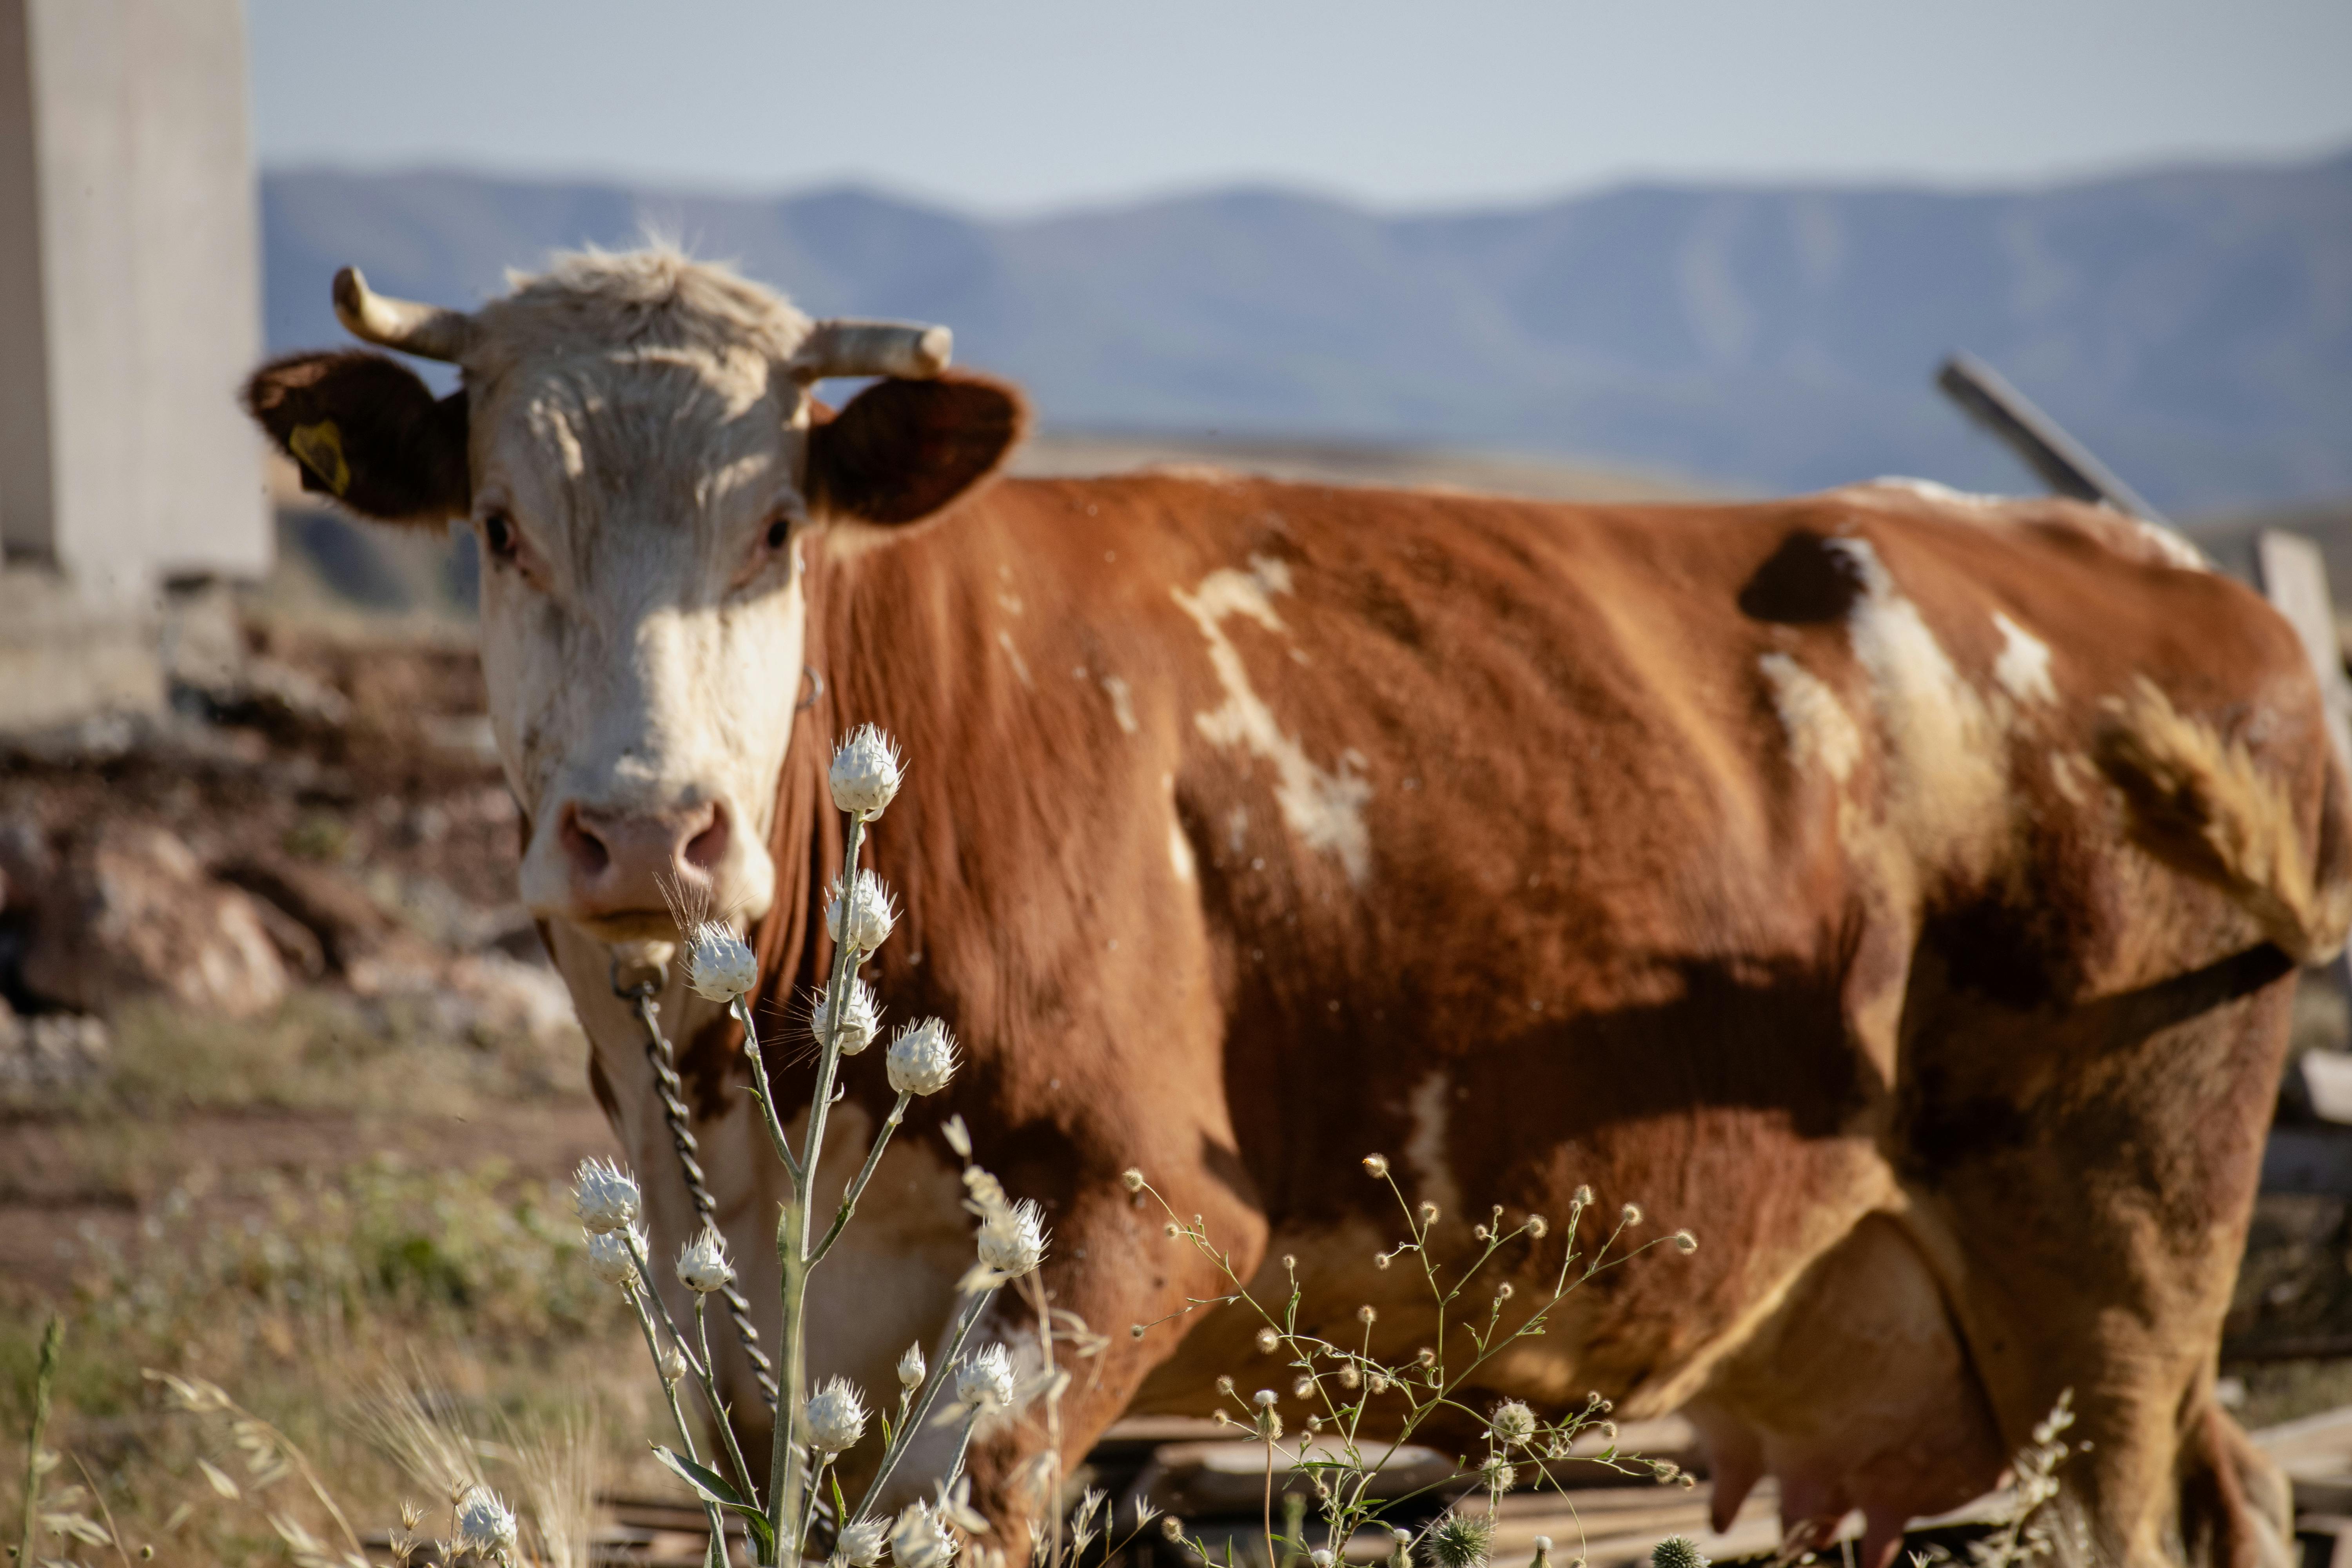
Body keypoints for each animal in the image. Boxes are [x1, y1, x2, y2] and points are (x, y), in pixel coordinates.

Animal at [244, 248, 2350, 1568]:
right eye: (499, 526)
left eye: (775, 528)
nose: (645, 834)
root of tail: (2158, 568)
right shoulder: (745, 1355)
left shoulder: (1139, 1213)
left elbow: (952, 1500)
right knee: (2232, 1488)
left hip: (2113, 1252)